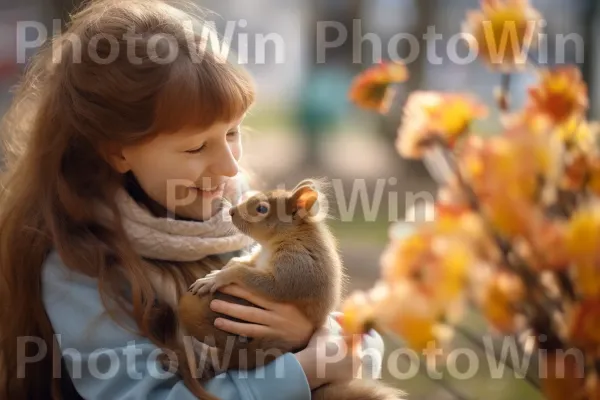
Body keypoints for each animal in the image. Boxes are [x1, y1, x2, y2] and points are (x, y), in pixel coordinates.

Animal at [178, 179, 404, 400]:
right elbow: (243, 261)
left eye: (262, 208)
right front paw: (223, 268)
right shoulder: (260, 258)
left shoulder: (296, 267)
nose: (232, 211)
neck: (280, 238)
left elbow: (262, 281)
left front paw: (218, 277)